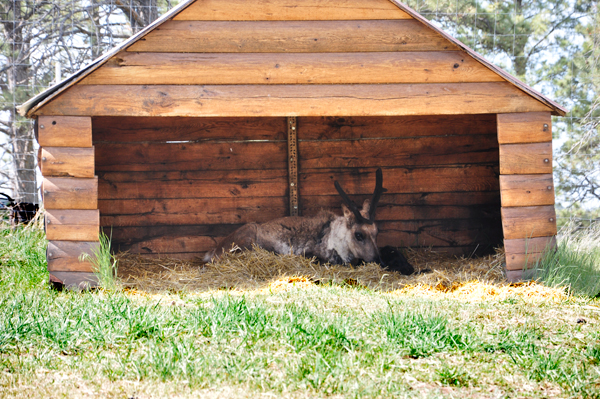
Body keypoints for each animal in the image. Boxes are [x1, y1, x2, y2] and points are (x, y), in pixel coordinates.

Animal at [204, 169, 386, 266]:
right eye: (358, 234)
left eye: (377, 231)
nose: (379, 260)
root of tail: (212, 251)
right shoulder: (310, 252)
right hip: (247, 237)